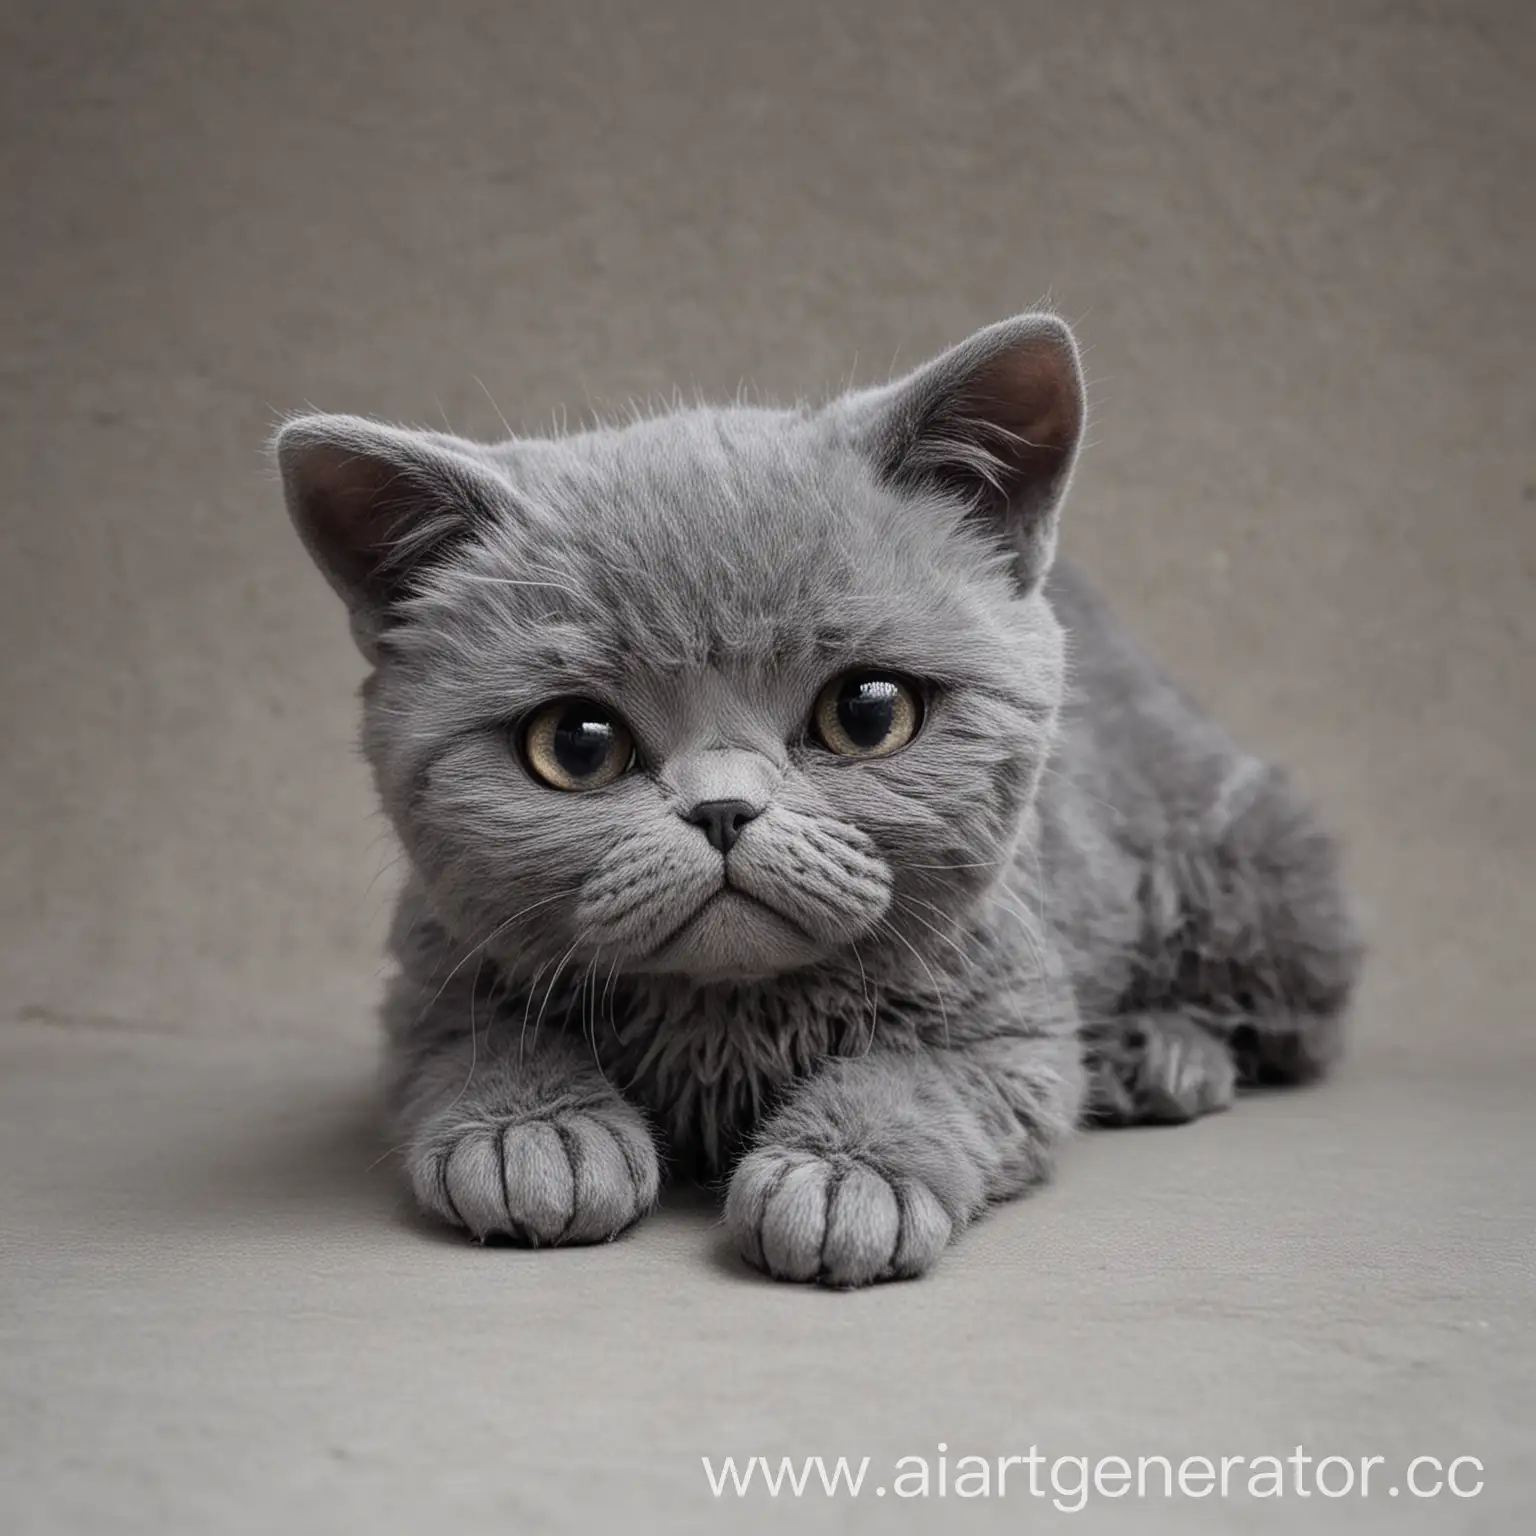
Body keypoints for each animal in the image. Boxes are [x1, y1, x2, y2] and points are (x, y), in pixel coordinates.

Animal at [276, 317, 1357, 1290]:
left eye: (868, 713)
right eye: (576, 745)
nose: (721, 811)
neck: (726, 1021)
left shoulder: (1010, 1021)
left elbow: (925, 1073)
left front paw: (842, 1176)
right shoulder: (435, 977)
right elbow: (470, 1043)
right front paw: (535, 1134)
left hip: (1252, 880)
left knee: (1295, 1026)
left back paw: (1156, 1053)